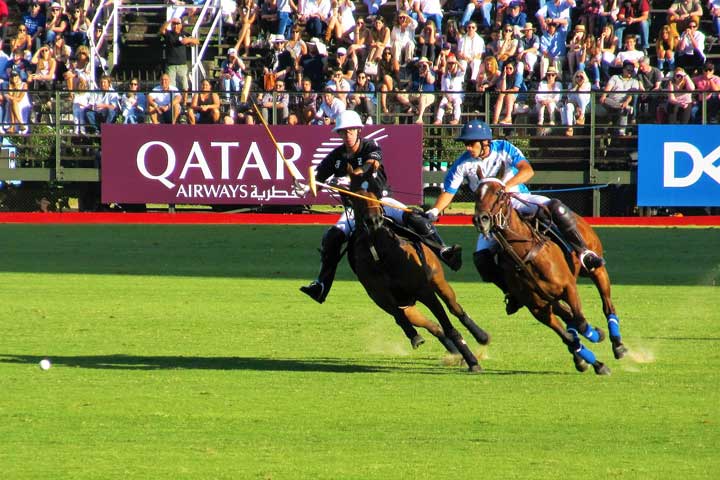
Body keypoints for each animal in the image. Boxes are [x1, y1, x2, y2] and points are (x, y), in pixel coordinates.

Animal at [344, 171, 490, 374]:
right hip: (409, 305)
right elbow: (399, 317)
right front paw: (415, 337)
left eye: (375, 192)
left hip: (438, 281)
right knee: (433, 326)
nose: (374, 221)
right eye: (355, 197)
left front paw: (473, 361)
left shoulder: (424, 290)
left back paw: (480, 336)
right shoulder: (381, 297)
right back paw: (453, 352)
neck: (379, 252)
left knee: (456, 309)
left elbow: (450, 326)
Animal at [472, 169, 624, 376]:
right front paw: (596, 363)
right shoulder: (538, 308)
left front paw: (596, 335)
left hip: (596, 269)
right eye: (476, 193)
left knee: (607, 305)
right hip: (551, 299)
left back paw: (617, 344)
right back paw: (582, 356)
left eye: (499, 193)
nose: (481, 219)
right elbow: (569, 335)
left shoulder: (568, 287)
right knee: (569, 319)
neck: (525, 255)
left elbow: (581, 322)